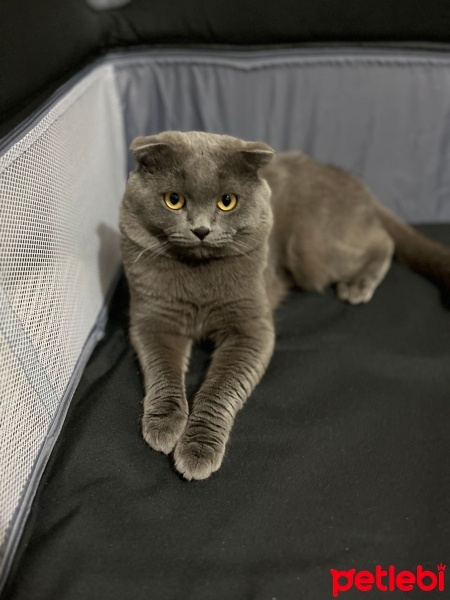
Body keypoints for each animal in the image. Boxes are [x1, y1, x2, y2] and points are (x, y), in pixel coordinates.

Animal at [119, 129, 450, 480]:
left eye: (227, 202)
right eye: (173, 200)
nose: (201, 230)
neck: (198, 275)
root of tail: (349, 177)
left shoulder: (251, 329)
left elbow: (219, 388)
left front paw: (198, 450)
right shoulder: (152, 319)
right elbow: (162, 370)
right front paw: (163, 425)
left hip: (311, 250)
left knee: (383, 241)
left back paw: (357, 286)